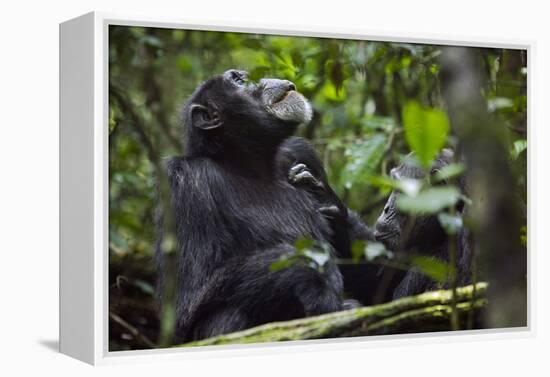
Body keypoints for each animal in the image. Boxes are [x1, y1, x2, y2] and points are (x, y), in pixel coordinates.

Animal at [164, 69, 352, 342]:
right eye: (237, 81)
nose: (263, 78)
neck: (252, 162)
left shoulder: (301, 152)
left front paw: (320, 193)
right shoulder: (186, 183)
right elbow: (191, 294)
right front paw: (312, 267)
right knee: (227, 314)